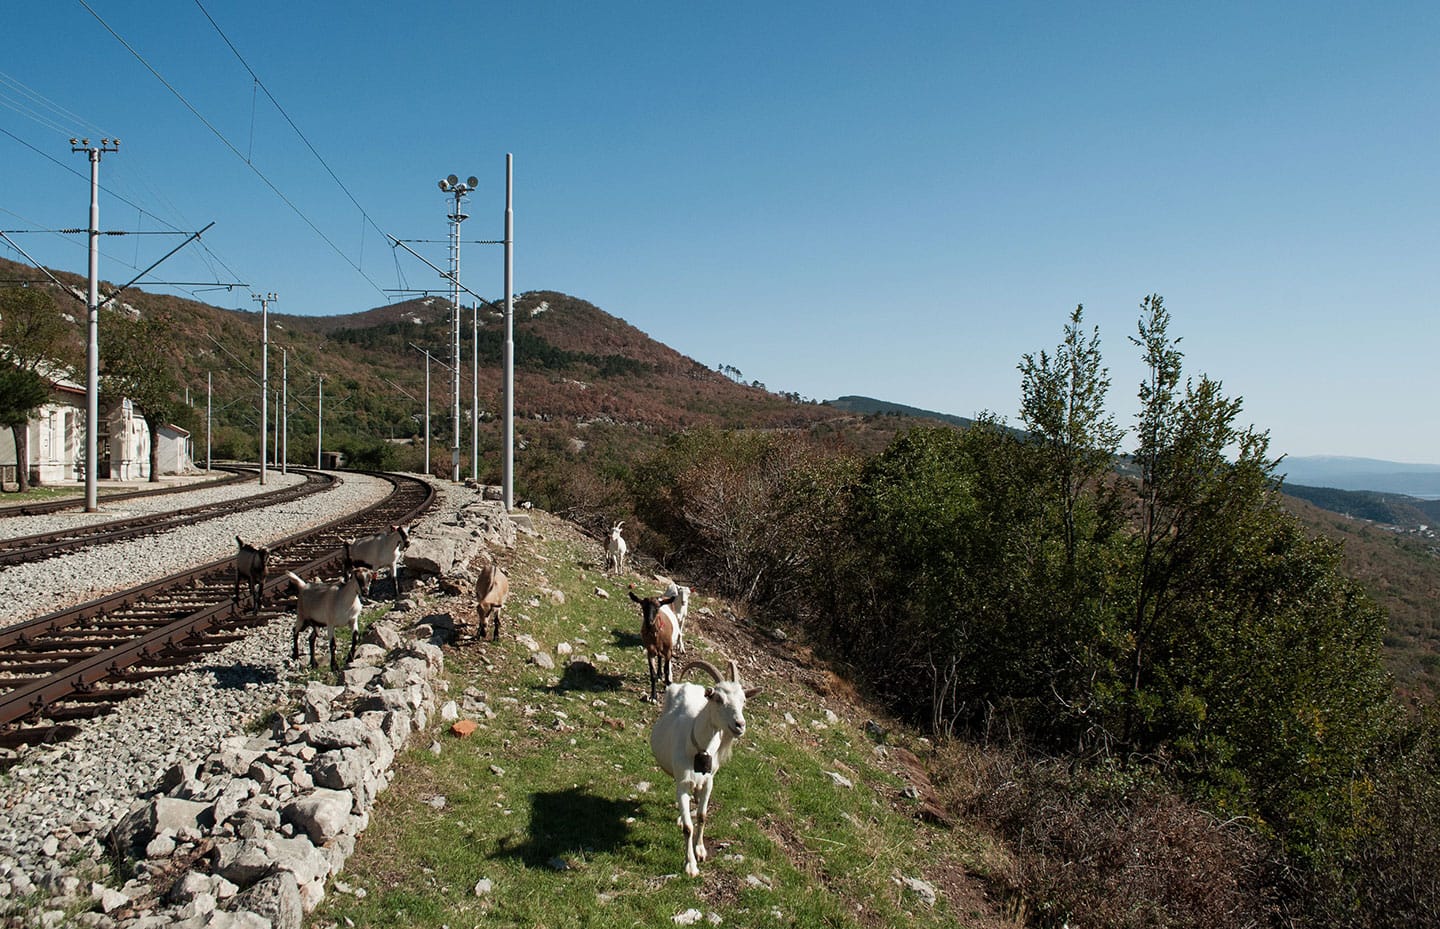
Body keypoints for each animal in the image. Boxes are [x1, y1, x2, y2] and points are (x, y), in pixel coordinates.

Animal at [650, 656, 760, 875]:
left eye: (743, 700)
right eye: (718, 699)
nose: (740, 725)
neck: (698, 748)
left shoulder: (710, 782)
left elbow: (702, 816)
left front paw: (700, 850)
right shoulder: (683, 782)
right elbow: (688, 827)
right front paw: (691, 865)